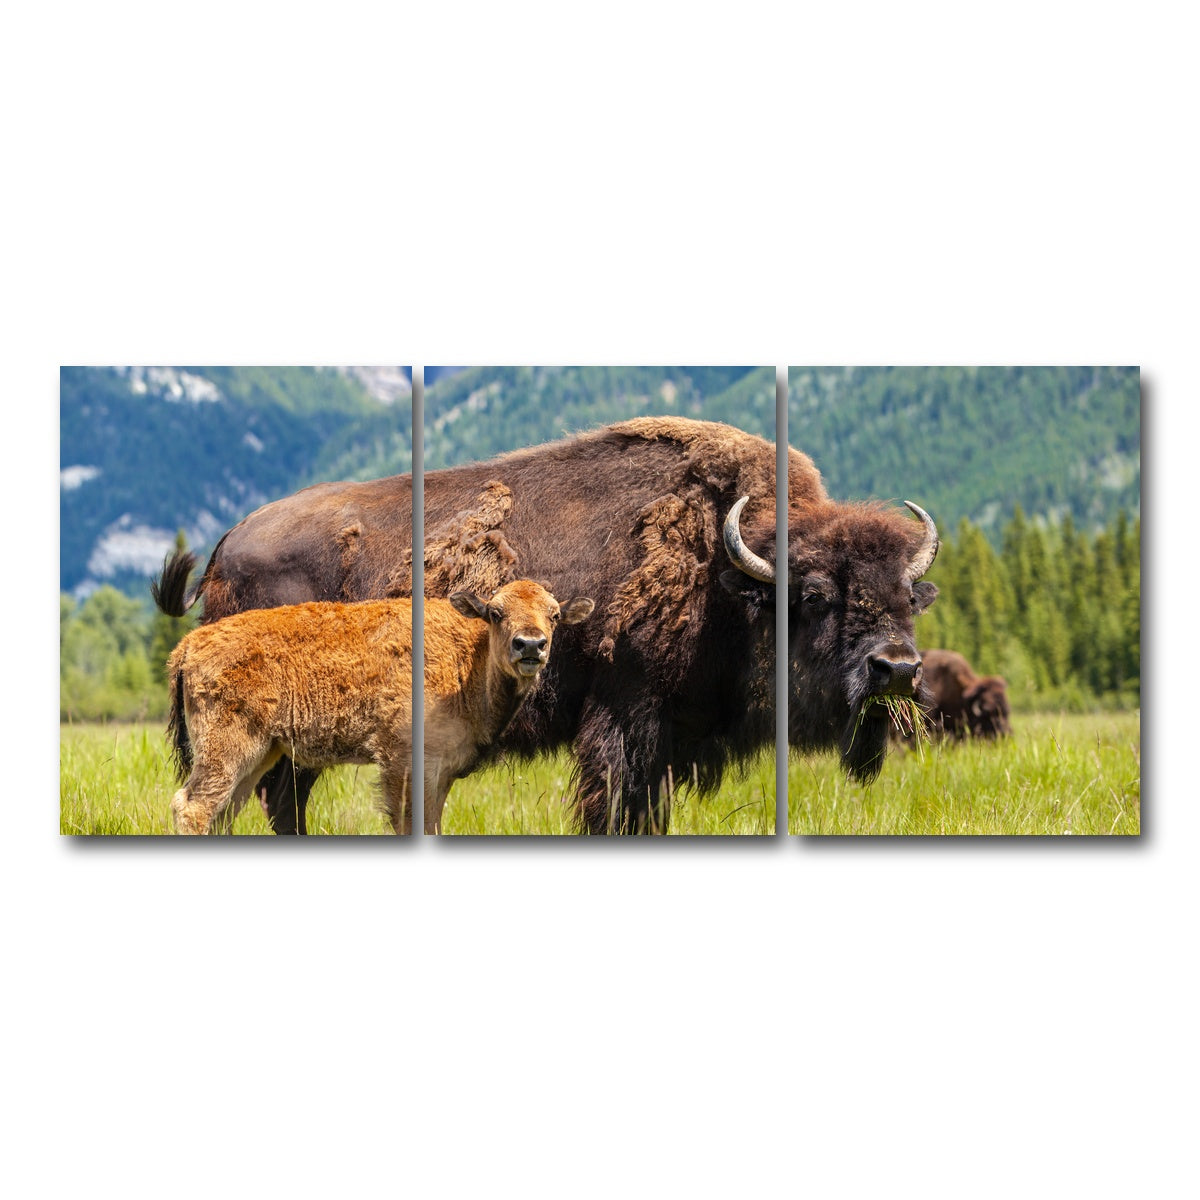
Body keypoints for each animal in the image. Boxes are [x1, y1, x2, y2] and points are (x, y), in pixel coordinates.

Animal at [164, 580, 592, 834]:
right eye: (496, 613)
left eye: (555, 615)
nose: (530, 645)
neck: (469, 658)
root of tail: (188, 645)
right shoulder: (405, 764)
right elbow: (412, 822)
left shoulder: (441, 771)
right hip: (226, 750)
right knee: (194, 806)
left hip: (258, 754)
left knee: (224, 811)